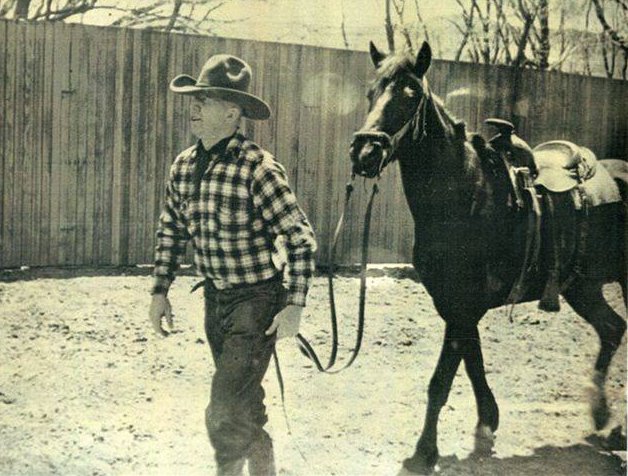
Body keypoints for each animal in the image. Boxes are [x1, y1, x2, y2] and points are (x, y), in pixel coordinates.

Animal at [350, 40, 624, 472]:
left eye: (411, 96)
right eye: (371, 93)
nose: (364, 152)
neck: (464, 195)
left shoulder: (464, 305)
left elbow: (442, 379)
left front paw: (424, 452)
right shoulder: (453, 304)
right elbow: (473, 361)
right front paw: (486, 425)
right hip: (584, 287)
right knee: (612, 328)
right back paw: (603, 419)